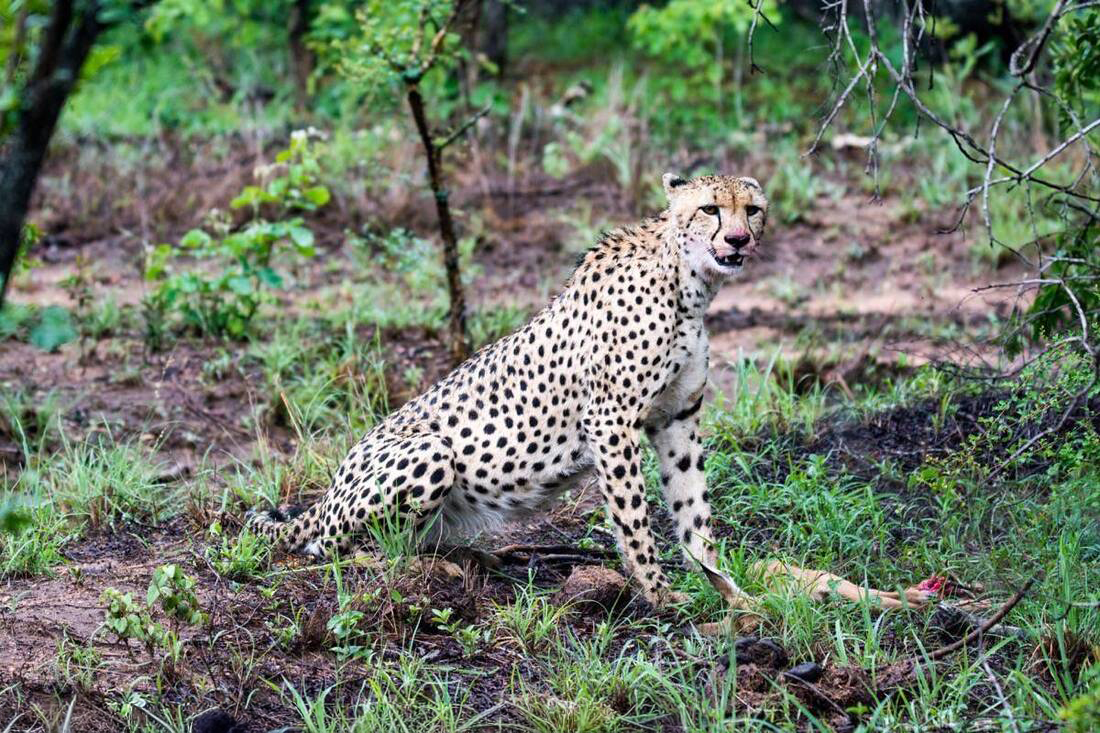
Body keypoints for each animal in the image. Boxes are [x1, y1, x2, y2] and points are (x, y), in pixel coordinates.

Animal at [247, 172, 769, 608]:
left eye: (752, 210)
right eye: (710, 209)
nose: (738, 239)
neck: (687, 282)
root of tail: (330, 489)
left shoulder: (677, 416)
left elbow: (692, 506)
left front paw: (721, 584)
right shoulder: (611, 420)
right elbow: (634, 517)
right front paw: (658, 592)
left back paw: (468, 557)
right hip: (429, 452)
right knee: (339, 546)